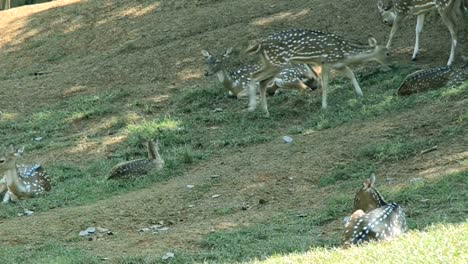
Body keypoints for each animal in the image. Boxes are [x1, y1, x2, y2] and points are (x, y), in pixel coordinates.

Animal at [245, 28, 392, 116]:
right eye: (387, 53)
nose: (391, 65)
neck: (345, 53)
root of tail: (259, 44)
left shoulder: (337, 64)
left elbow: (351, 74)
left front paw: (360, 94)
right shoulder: (326, 62)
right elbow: (325, 84)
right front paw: (324, 106)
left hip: (273, 64)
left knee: (262, 83)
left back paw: (265, 112)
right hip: (276, 63)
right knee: (254, 76)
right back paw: (252, 107)